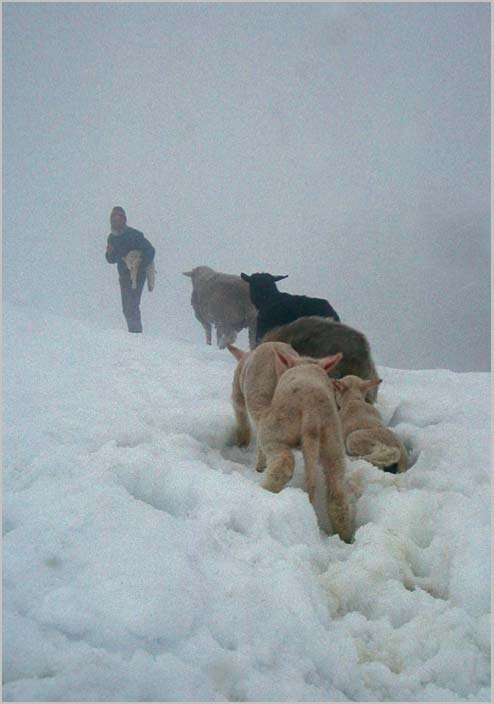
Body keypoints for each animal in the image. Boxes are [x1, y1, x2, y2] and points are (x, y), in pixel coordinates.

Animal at [255, 350, 352, 540]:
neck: (306, 364)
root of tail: (312, 413)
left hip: (276, 429)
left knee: (283, 463)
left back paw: (264, 491)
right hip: (333, 441)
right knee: (337, 490)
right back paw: (345, 537)